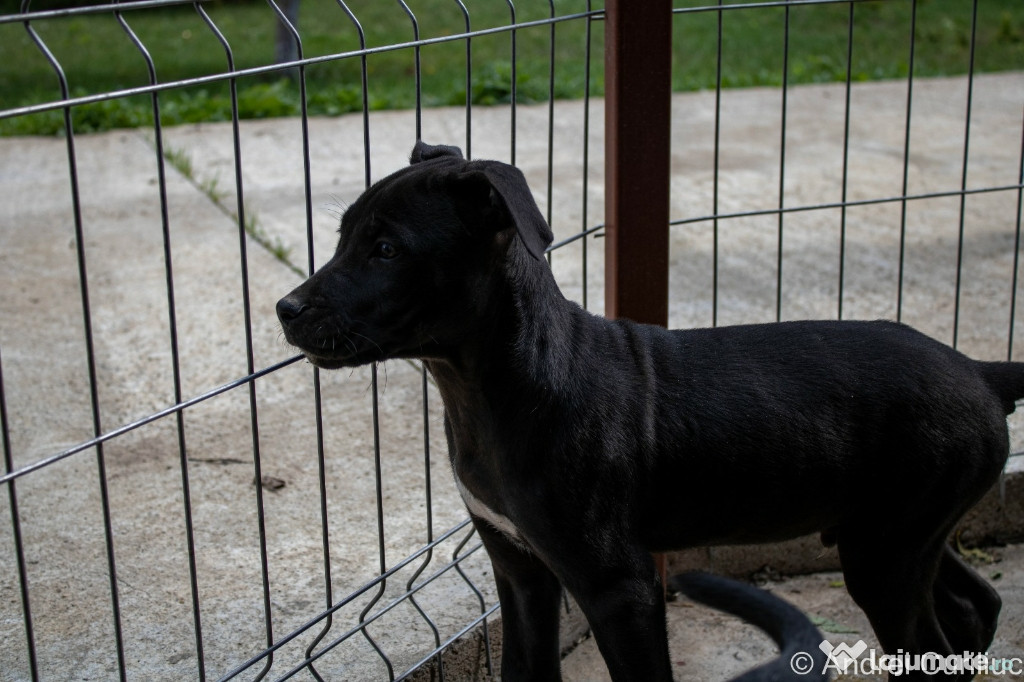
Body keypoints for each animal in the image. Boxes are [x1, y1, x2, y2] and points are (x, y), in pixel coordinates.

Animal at [280, 140, 1015, 675]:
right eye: (343, 237)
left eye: (386, 249)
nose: (285, 310)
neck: (497, 387)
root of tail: (981, 370)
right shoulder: (520, 574)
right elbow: (524, 670)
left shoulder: (619, 587)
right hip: (899, 530)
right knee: (976, 605)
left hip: (886, 548)